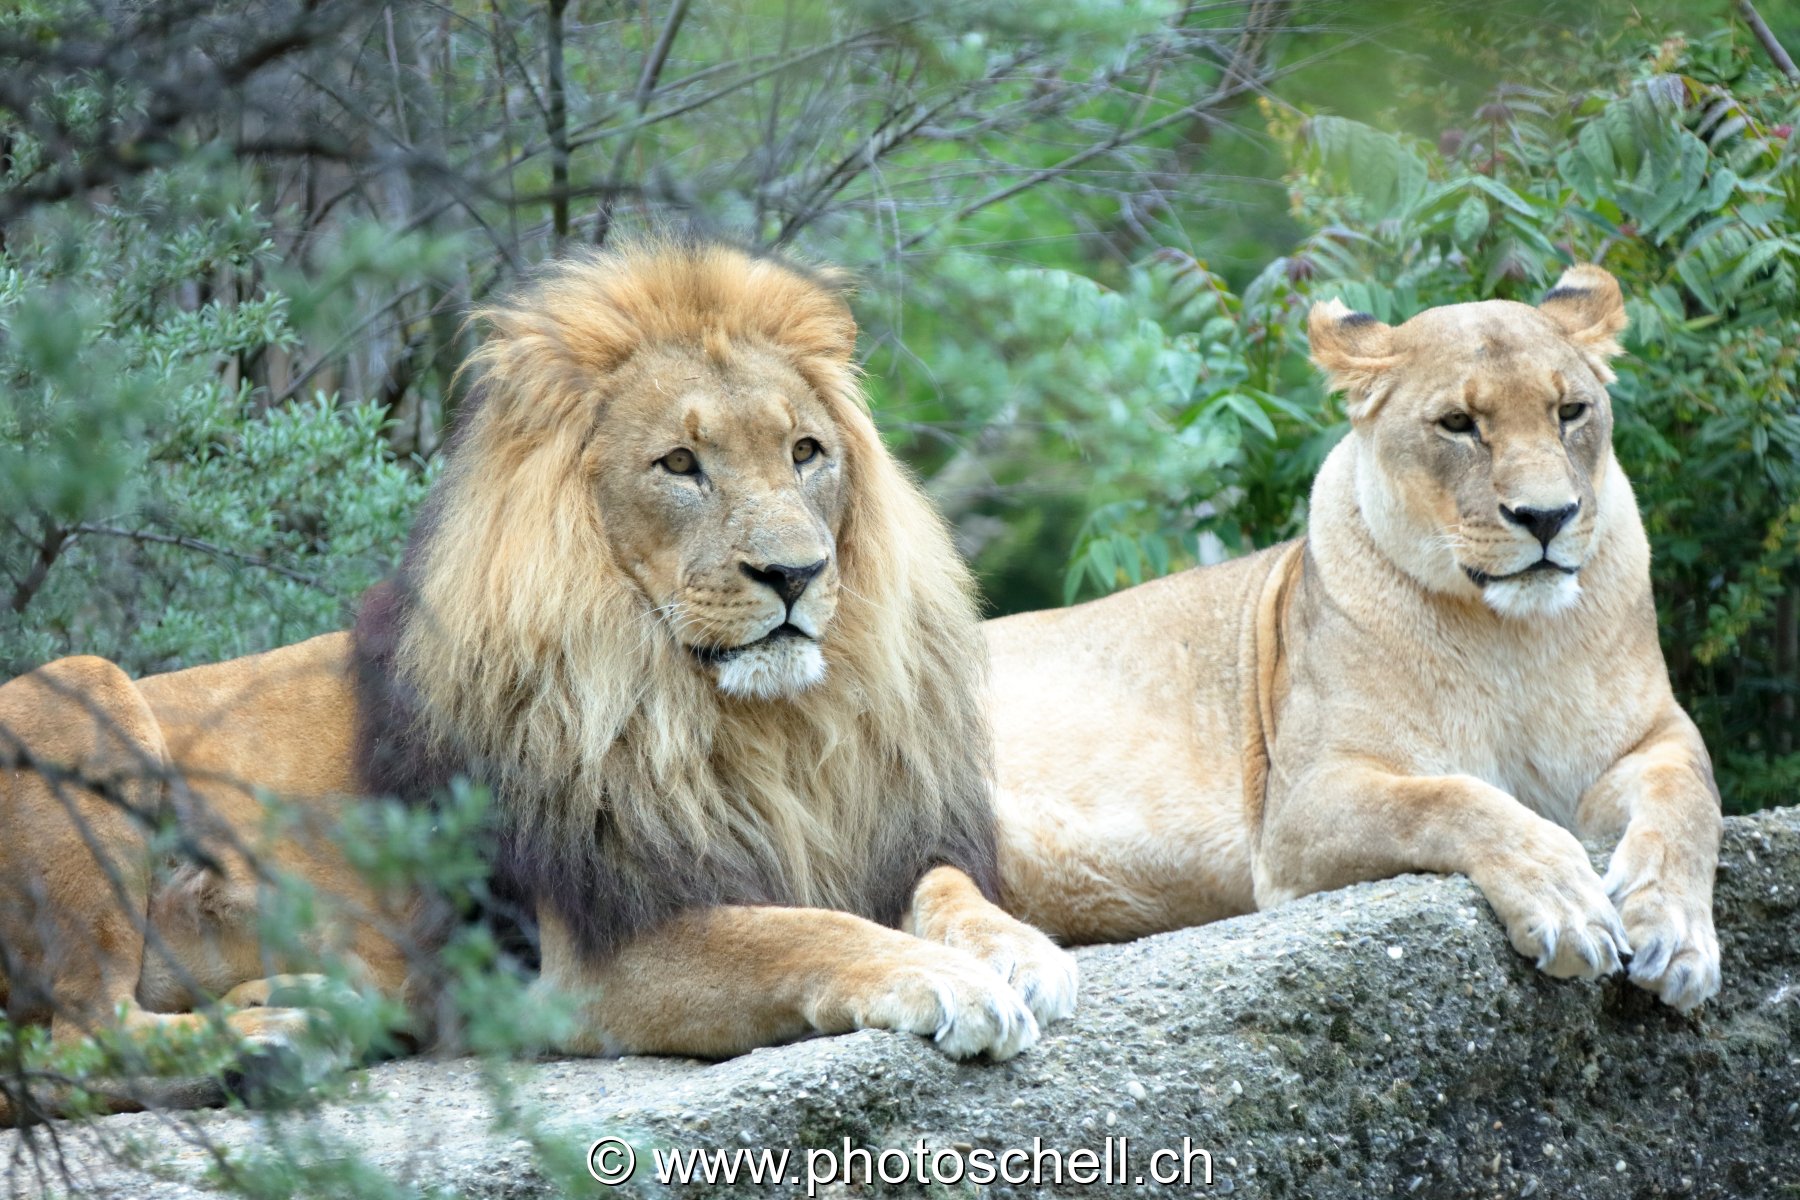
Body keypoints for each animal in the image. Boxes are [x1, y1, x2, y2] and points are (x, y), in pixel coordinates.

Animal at [0, 242, 1076, 1121]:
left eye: (806, 452)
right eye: (680, 464)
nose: (795, 575)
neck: (748, 727)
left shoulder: (871, 836)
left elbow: (943, 884)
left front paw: (1020, 951)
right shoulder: (588, 959)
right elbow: (798, 934)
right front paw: (949, 981)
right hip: (79, 688)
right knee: (73, 1037)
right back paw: (272, 1043)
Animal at [985, 265, 1722, 1013]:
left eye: (1570, 412)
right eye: (1458, 424)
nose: (1546, 516)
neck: (1510, 637)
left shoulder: (1653, 734)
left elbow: (1691, 799)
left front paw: (1676, 935)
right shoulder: (1299, 809)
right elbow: (1448, 799)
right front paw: (1563, 900)